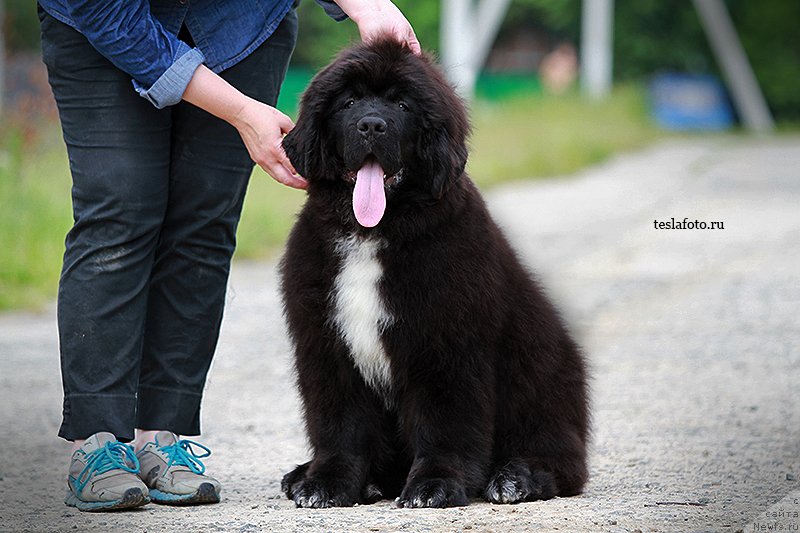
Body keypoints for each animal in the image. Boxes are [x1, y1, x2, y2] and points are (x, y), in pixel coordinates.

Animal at [280, 38, 588, 508]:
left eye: (403, 105)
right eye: (348, 102)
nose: (371, 125)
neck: (373, 232)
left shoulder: (445, 346)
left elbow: (444, 427)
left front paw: (434, 485)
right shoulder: (327, 346)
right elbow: (340, 426)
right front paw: (326, 482)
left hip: (542, 377)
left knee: (561, 462)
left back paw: (516, 477)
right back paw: (320, 476)